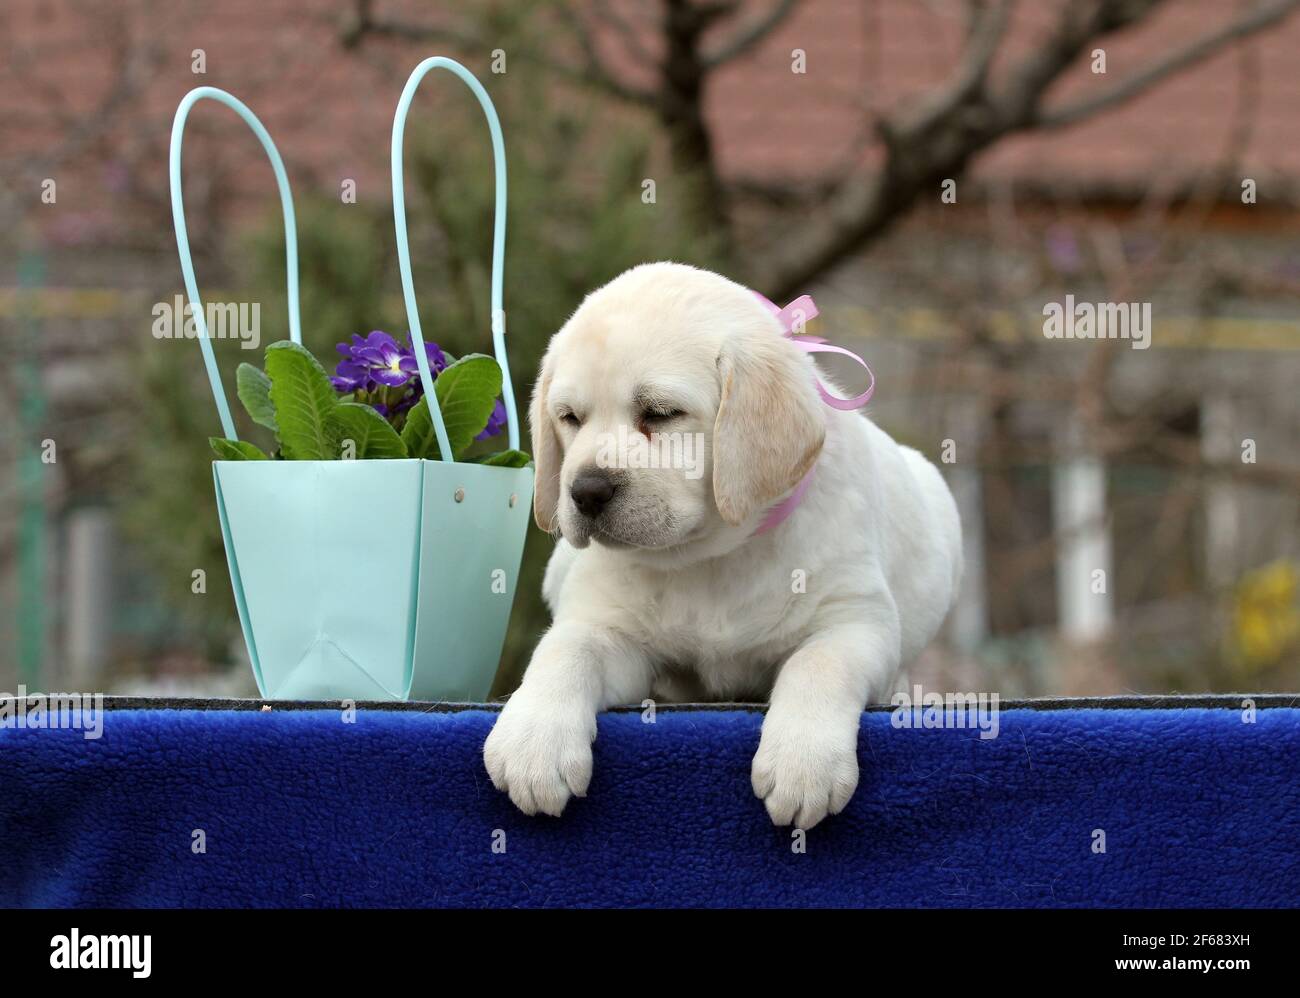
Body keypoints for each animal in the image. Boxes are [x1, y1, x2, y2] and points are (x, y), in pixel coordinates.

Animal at [483, 259, 961, 826]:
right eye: (570, 418)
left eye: (661, 413)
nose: (585, 491)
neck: (708, 556)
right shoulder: (610, 632)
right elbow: (564, 649)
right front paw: (533, 741)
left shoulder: (856, 621)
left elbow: (818, 664)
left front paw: (803, 761)